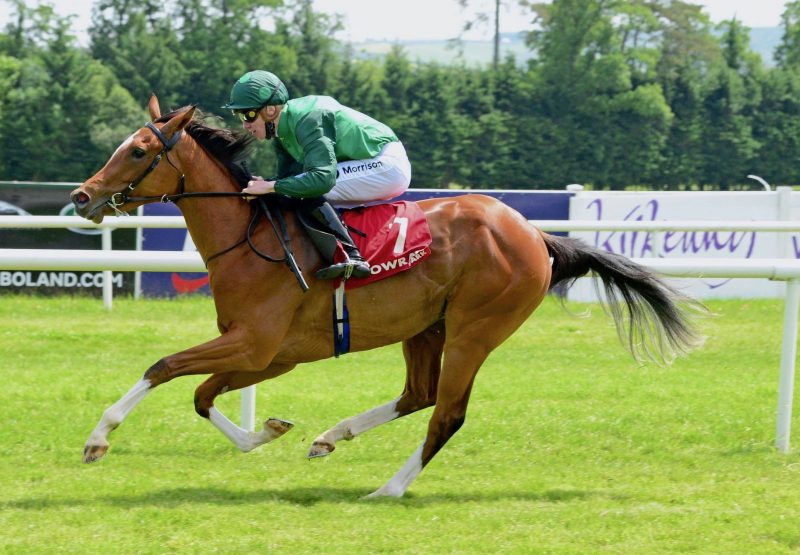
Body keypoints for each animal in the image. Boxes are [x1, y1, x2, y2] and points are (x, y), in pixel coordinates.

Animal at [70, 95, 700, 500]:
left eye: (138, 151)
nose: (81, 196)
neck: (250, 239)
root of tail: (534, 234)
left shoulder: (254, 343)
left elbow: (163, 367)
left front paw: (98, 439)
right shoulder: (271, 353)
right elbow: (202, 394)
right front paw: (267, 432)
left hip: (476, 329)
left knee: (447, 413)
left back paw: (388, 489)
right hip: (427, 326)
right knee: (419, 395)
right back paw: (330, 437)